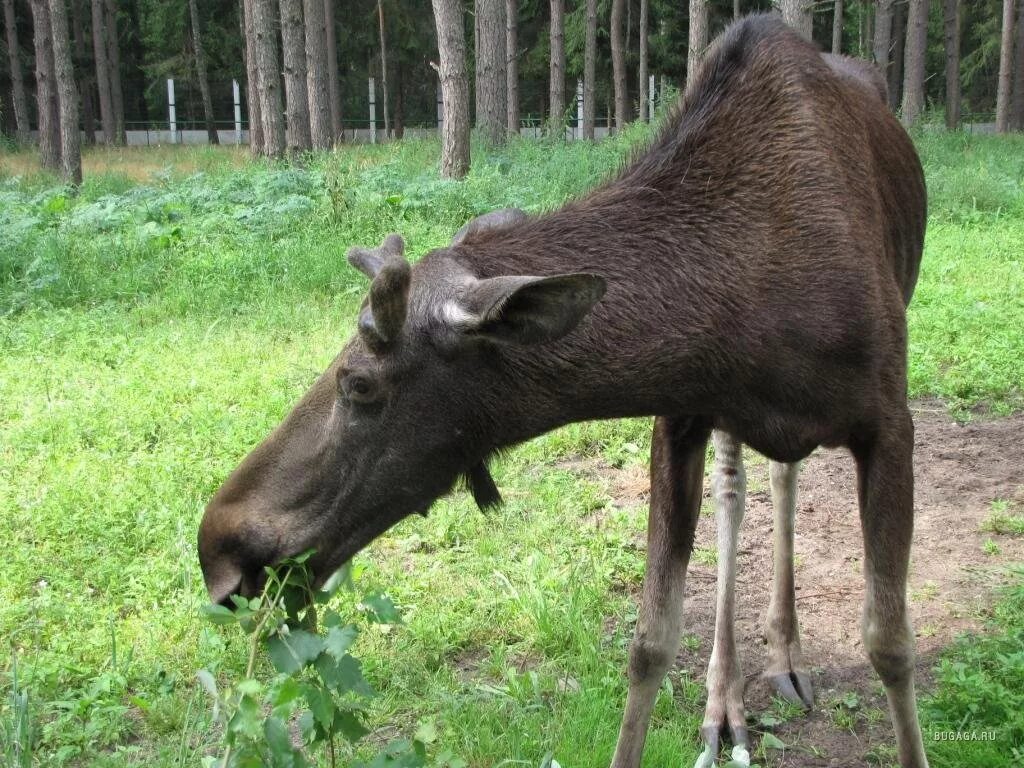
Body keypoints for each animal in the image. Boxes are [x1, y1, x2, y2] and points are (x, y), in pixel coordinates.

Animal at [197, 16, 929, 768]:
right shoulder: (682, 415)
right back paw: (727, 695)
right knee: (743, 491)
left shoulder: (889, 425)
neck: (744, 317)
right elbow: (651, 641)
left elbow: (891, 644)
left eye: (360, 384)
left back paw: (783, 654)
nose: (220, 544)